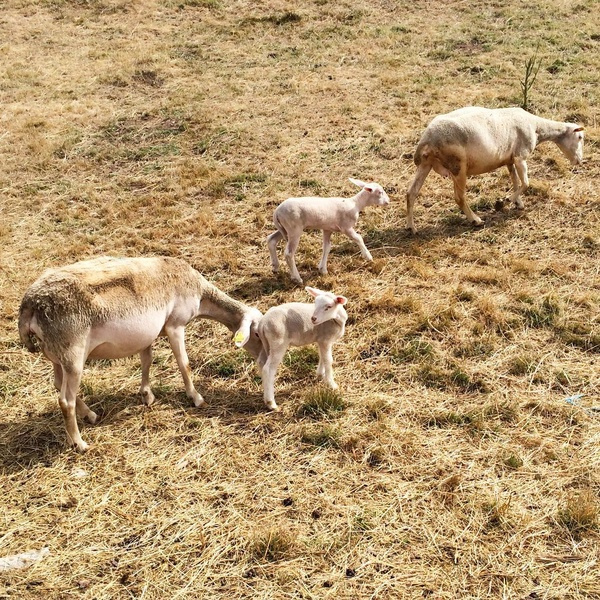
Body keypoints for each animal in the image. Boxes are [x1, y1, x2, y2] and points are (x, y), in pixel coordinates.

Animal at [18, 255, 262, 452]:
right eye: (258, 334)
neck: (201, 294)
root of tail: (29, 304)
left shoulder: (148, 334)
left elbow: (147, 360)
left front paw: (147, 395)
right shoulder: (175, 326)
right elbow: (184, 363)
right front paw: (197, 398)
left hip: (56, 354)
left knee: (58, 384)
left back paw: (90, 416)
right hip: (72, 352)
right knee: (65, 400)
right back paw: (79, 443)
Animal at [406, 106, 584, 233]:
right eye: (580, 137)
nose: (579, 161)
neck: (537, 127)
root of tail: (427, 139)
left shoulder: (510, 160)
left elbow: (515, 181)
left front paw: (518, 203)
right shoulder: (520, 156)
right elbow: (525, 183)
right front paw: (502, 202)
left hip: (426, 164)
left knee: (411, 192)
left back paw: (411, 227)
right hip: (458, 166)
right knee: (459, 197)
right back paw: (475, 220)